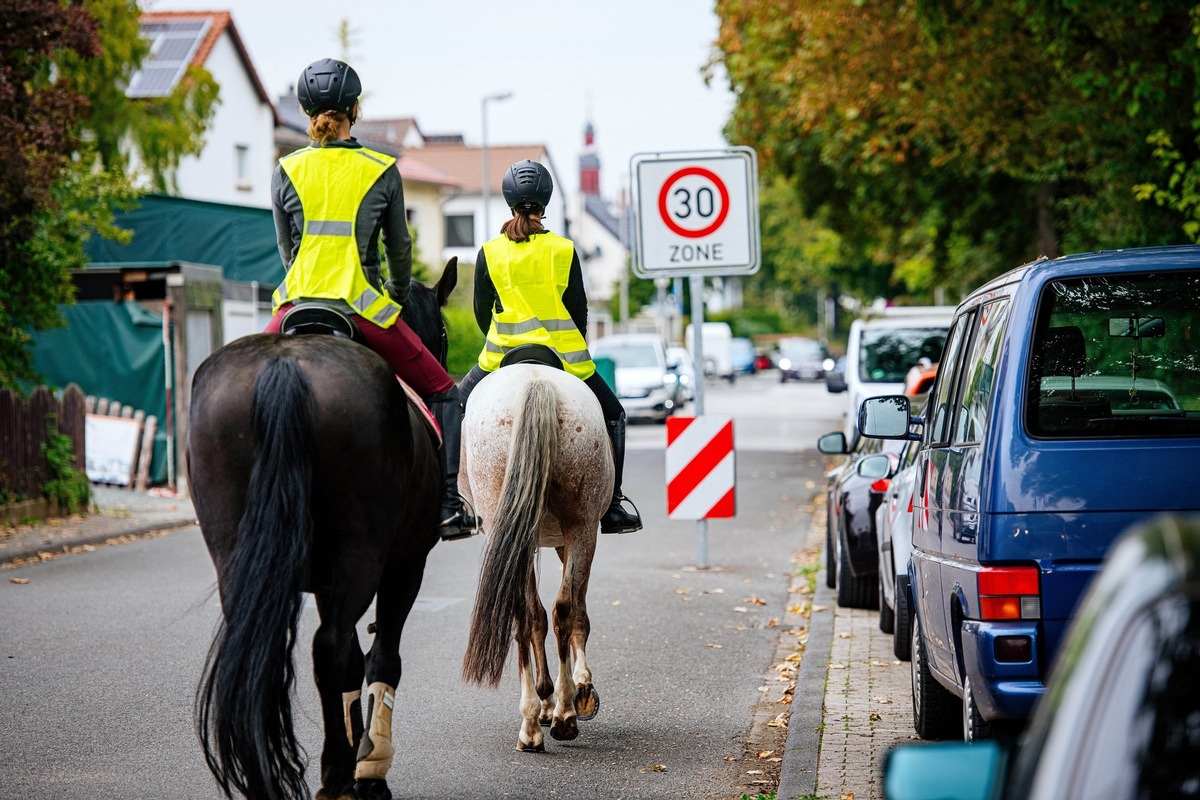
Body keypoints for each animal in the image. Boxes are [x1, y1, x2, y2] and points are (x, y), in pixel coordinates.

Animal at [189, 263, 456, 800]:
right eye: (442, 333)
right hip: (361, 556)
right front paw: (369, 768)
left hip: (236, 555)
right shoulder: (404, 566)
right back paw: (337, 775)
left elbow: (354, 660)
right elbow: (378, 658)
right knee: (330, 650)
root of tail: (284, 367)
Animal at [456, 362, 614, 753]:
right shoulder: (572, 539)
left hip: (522, 526)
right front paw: (577, 690)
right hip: (579, 526)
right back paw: (562, 712)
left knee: (526, 614)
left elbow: (543, 617)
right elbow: (575, 613)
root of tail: (536, 382)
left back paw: (534, 723)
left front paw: (553, 697)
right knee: (558, 611)